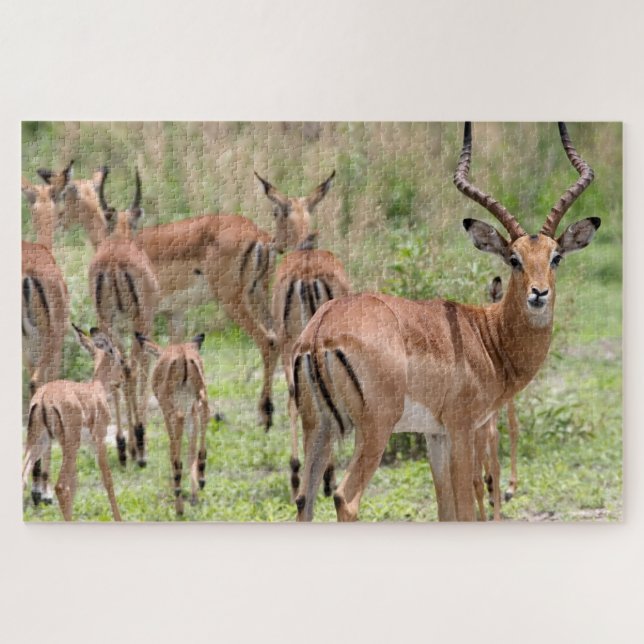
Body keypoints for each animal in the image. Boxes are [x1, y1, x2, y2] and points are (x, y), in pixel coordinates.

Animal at [22, 325, 124, 521]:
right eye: (122, 360)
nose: (122, 380)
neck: (97, 389)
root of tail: (44, 397)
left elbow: (75, 484)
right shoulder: (99, 440)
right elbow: (107, 480)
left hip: (39, 442)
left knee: (23, 477)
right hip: (69, 444)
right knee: (61, 486)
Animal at [135, 332, 209, 516]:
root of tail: (183, 355)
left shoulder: (167, 411)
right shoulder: (191, 410)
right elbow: (191, 449)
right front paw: (194, 495)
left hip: (172, 407)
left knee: (177, 441)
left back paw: (178, 497)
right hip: (199, 396)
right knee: (205, 411)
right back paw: (201, 476)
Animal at [270, 231, 350, 498]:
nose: (274, 244)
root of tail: (306, 273)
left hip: (291, 346)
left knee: (294, 397)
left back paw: (297, 475)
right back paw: (327, 477)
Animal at [292, 122, 600, 522]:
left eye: (556, 256)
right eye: (514, 258)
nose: (539, 294)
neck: (487, 337)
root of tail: (321, 330)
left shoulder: (434, 435)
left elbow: (446, 510)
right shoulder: (461, 428)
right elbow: (466, 508)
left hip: (318, 427)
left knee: (304, 499)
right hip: (375, 428)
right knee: (345, 497)